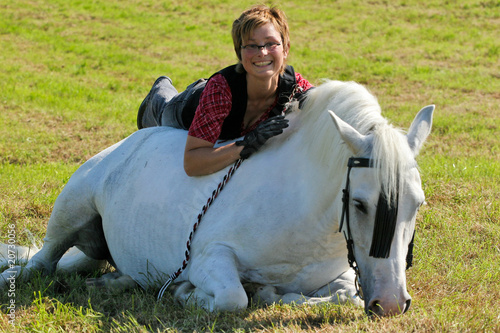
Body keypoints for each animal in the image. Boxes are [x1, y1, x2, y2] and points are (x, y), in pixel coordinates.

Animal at [0, 80, 434, 314]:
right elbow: (231, 298)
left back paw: (113, 283)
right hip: (71, 210)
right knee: (41, 264)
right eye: (359, 203)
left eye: (417, 205)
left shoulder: (339, 275)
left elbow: (345, 296)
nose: (391, 303)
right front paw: (188, 294)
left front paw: (275, 294)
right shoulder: (212, 257)